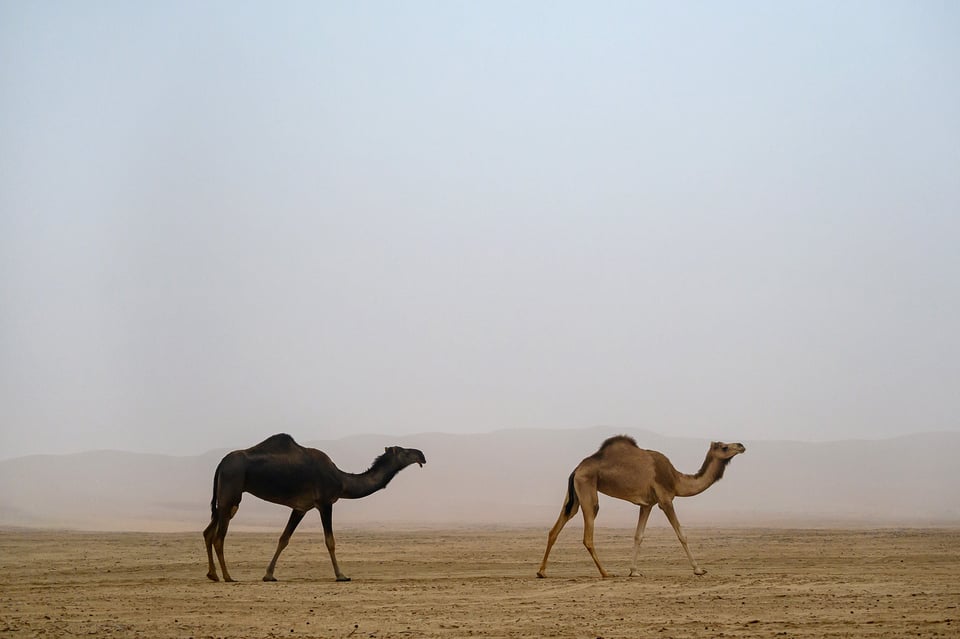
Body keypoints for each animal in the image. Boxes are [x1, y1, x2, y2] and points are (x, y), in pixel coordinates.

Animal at [536, 436, 748, 580]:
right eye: (724, 446)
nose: (741, 445)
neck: (676, 480)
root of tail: (576, 469)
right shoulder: (665, 500)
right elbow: (681, 534)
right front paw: (698, 569)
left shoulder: (647, 505)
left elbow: (639, 536)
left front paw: (634, 571)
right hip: (588, 490)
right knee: (588, 535)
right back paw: (606, 573)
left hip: (574, 495)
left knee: (556, 527)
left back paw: (542, 572)